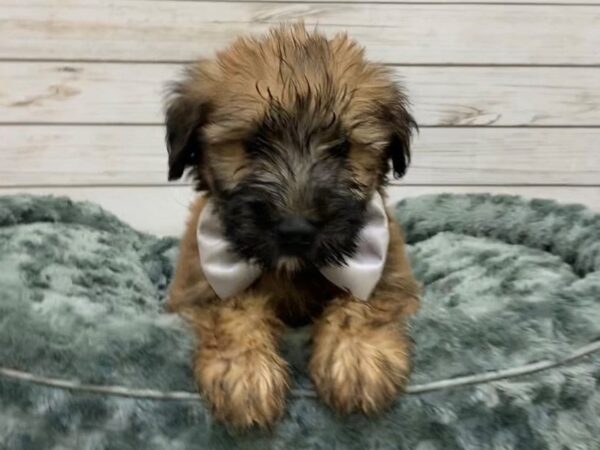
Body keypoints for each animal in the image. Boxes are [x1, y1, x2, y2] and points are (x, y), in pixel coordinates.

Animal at [164, 25, 418, 428]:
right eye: (253, 144)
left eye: (342, 147)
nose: (296, 231)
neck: (291, 271)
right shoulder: (199, 284)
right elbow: (231, 309)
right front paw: (245, 375)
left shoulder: (388, 272)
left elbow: (363, 304)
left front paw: (359, 357)